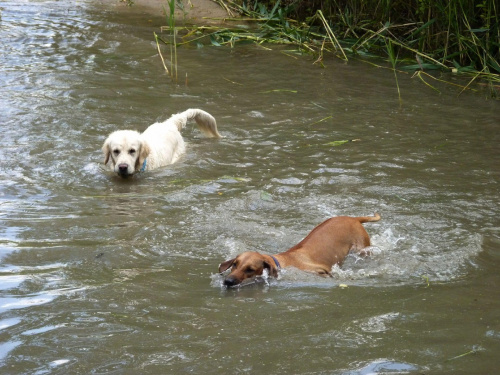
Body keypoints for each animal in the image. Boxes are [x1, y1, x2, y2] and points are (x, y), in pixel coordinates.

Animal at [217, 214, 380, 288]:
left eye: (250, 269)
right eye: (235, 264)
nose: (227, 281)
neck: (282, 262)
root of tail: (353, 218)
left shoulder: (319, 271)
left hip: (363, 250)